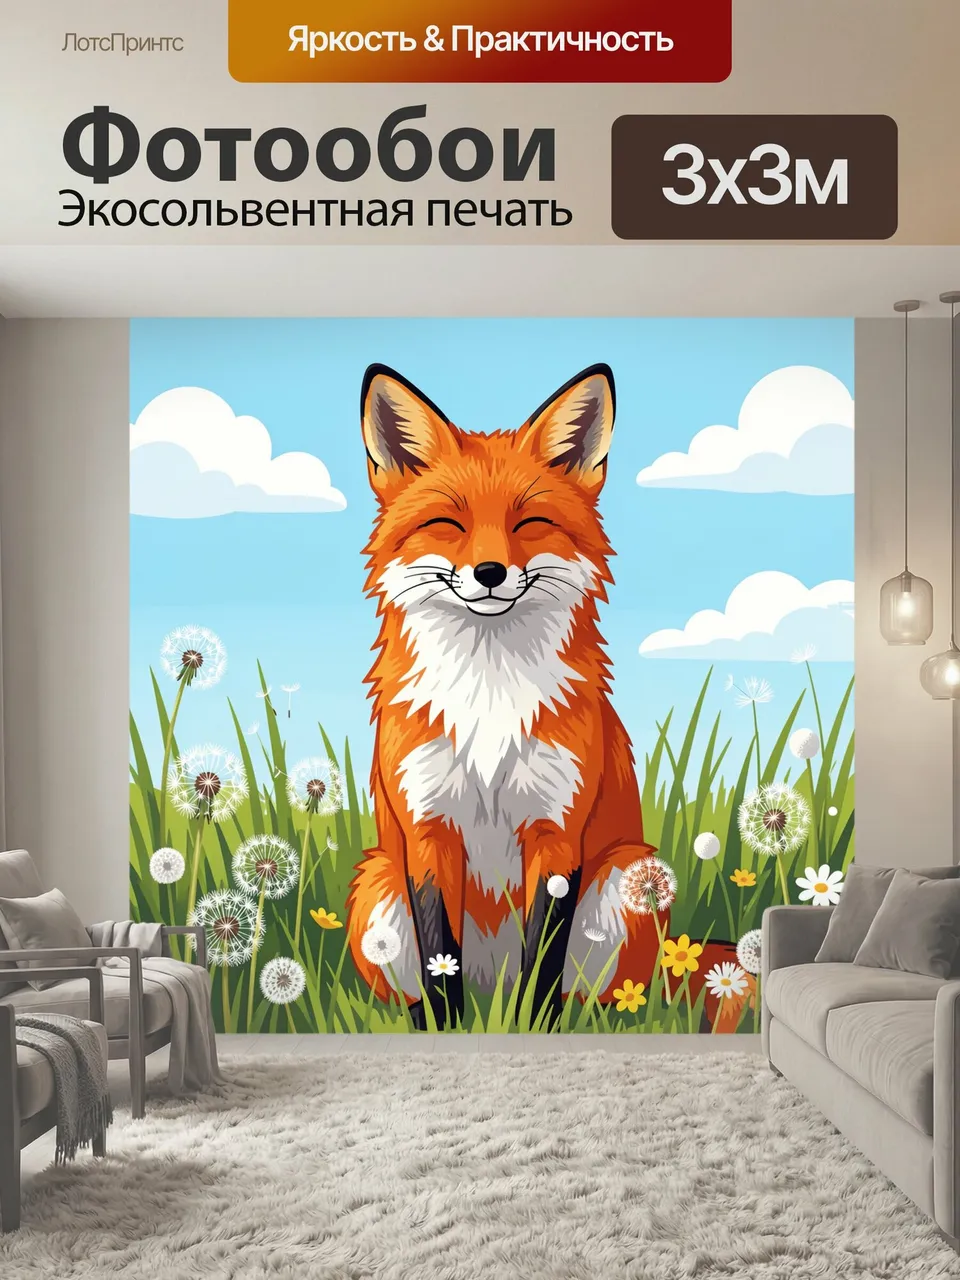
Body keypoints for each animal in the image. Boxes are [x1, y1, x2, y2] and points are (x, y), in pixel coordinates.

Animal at [347, 362, 741, 1030]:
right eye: (448, 524)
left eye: (528, 523)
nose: (489, 573)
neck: (487, 696)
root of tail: (491, 985)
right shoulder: (428, 832)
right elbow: (439, 961)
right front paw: (451, 1033)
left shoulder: (556, 831)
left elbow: (543, 962)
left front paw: (533, 1028)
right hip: (378, 885)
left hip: (626, 876)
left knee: (609, 999)